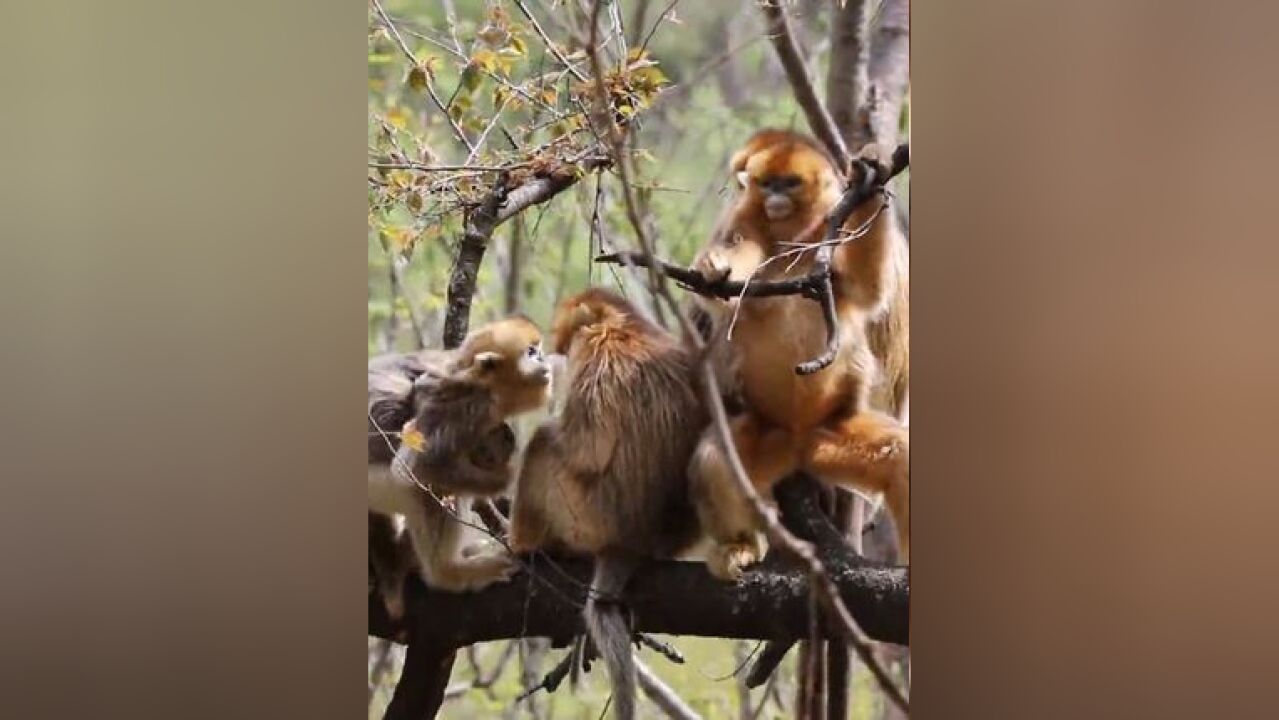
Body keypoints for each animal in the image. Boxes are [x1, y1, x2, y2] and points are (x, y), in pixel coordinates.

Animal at [368, 317, 552, 618]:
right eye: (530, 352)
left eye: (538, 349)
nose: (544, 359)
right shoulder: (464, 403)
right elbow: (413, 468)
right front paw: (509, 477)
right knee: (433, 486)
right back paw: (447, 573)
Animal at [690, 131, 910, 580]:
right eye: (766, 183)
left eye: (789, 183)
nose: (774, 196)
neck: (792, 235)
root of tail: (797, 438)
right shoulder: (743, 220)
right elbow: (727, 289)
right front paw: (715, 266)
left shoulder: (830, 228)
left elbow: (866, 288)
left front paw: (872, 170)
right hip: (767, 431)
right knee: (717, 461)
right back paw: (738, 545)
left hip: (834, 430)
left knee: (899, 456)